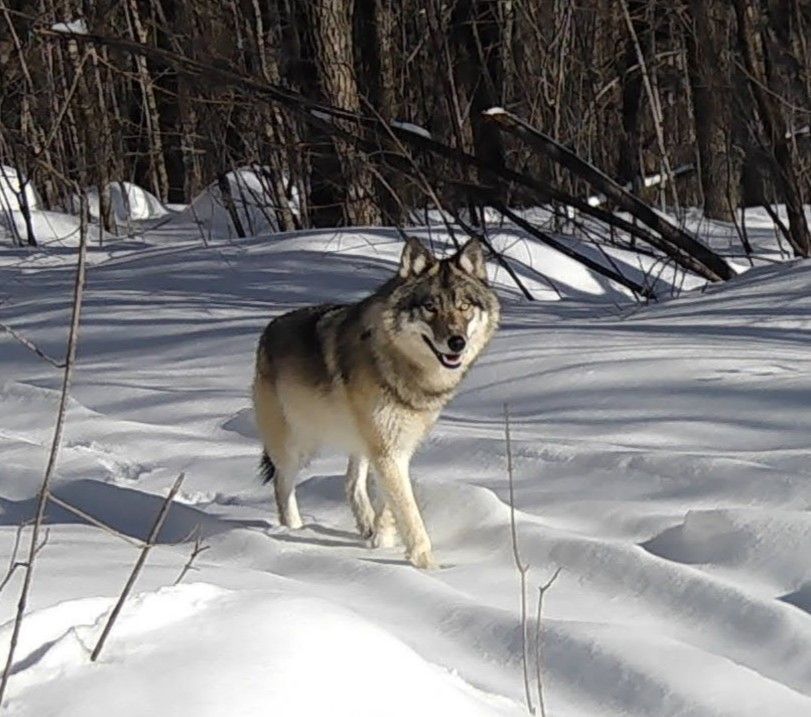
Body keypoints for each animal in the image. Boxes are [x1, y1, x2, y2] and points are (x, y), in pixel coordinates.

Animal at [251, 238, 502, 568]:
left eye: (464, 306)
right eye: (430, 307)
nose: (456, 342)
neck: (400, 364)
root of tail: (268, 330)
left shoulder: (395, 448)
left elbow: (390, 506)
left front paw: (381, 541)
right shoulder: (388, 450)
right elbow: (411, 516)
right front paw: (428, 568)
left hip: (357, 443)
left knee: (350, 483)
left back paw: (364, 527)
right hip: (298, 446)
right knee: (282, 485)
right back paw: (292, 531)